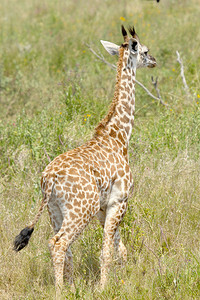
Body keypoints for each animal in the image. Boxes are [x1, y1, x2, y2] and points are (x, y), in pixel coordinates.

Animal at [13, 25, 156, 296]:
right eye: (144, 51)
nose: (154, 60)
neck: (118, 136)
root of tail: (48, 178)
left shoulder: (104, 207)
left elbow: (120, 248)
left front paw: (122, 280)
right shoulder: (119, 201)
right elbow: (107, 252)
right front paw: (103, 288)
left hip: (54, 210)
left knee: (63, 247)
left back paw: (69, 287)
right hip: (80, 209)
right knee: (58, 243)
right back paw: (60, 291)